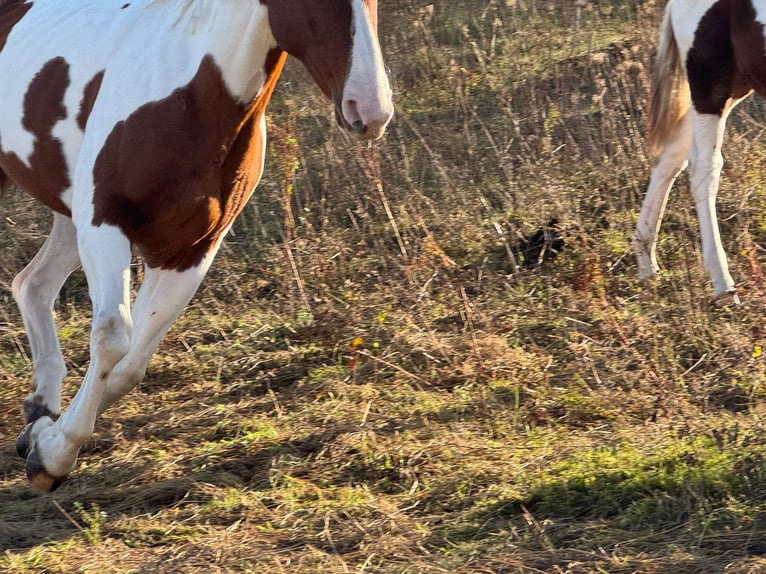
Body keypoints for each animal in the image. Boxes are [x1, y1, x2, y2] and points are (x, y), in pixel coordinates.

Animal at [0, 1, 392, 496]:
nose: (371, 110)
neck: (192, 98)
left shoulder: (191, 251)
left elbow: (129, 366)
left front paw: (43, 440)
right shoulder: (104, 223)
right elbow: (112, 337)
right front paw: (52, 457)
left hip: (68, 213)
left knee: (32, 284)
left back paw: (39, 406)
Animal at [632, 0, 764, 306]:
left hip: (733, 87)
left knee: (671, 158)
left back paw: (647, 264)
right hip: (711, 90)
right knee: (704, 169)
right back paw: (723, 286)